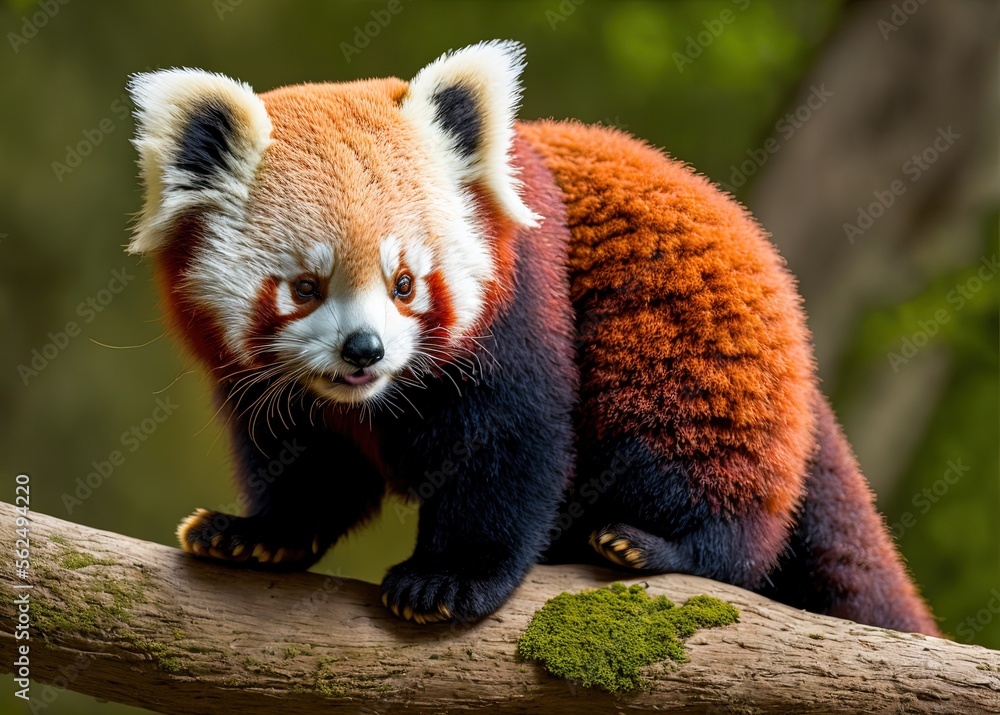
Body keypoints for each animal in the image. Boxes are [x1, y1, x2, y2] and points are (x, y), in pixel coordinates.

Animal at [125, 40, 938, 633]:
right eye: (305, 287)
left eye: (405, 283)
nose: (365, 351)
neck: (378, 399)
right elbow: (311, 462)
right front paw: (261, 532)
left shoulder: (523, 312)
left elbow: (510, 445)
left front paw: (450, 577)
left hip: (696, 351)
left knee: (701, 465)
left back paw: (660, 545)